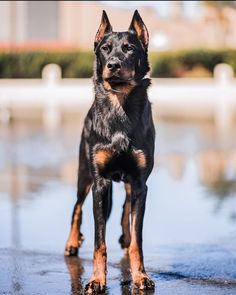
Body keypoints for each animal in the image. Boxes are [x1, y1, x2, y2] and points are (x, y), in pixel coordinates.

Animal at [65, 9, 156, 294]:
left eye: (129, 48)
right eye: (105, 49)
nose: (113, 65)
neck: (120, 105)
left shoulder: (139, 183)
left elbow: (138, 238)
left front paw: (140, 276)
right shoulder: (100, 182)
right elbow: (99, 241)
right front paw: (96, 280)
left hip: (126, 183)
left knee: (126, 209)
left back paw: (125, 237)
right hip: (84, 173)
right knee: (77, 208)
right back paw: (72, 243)